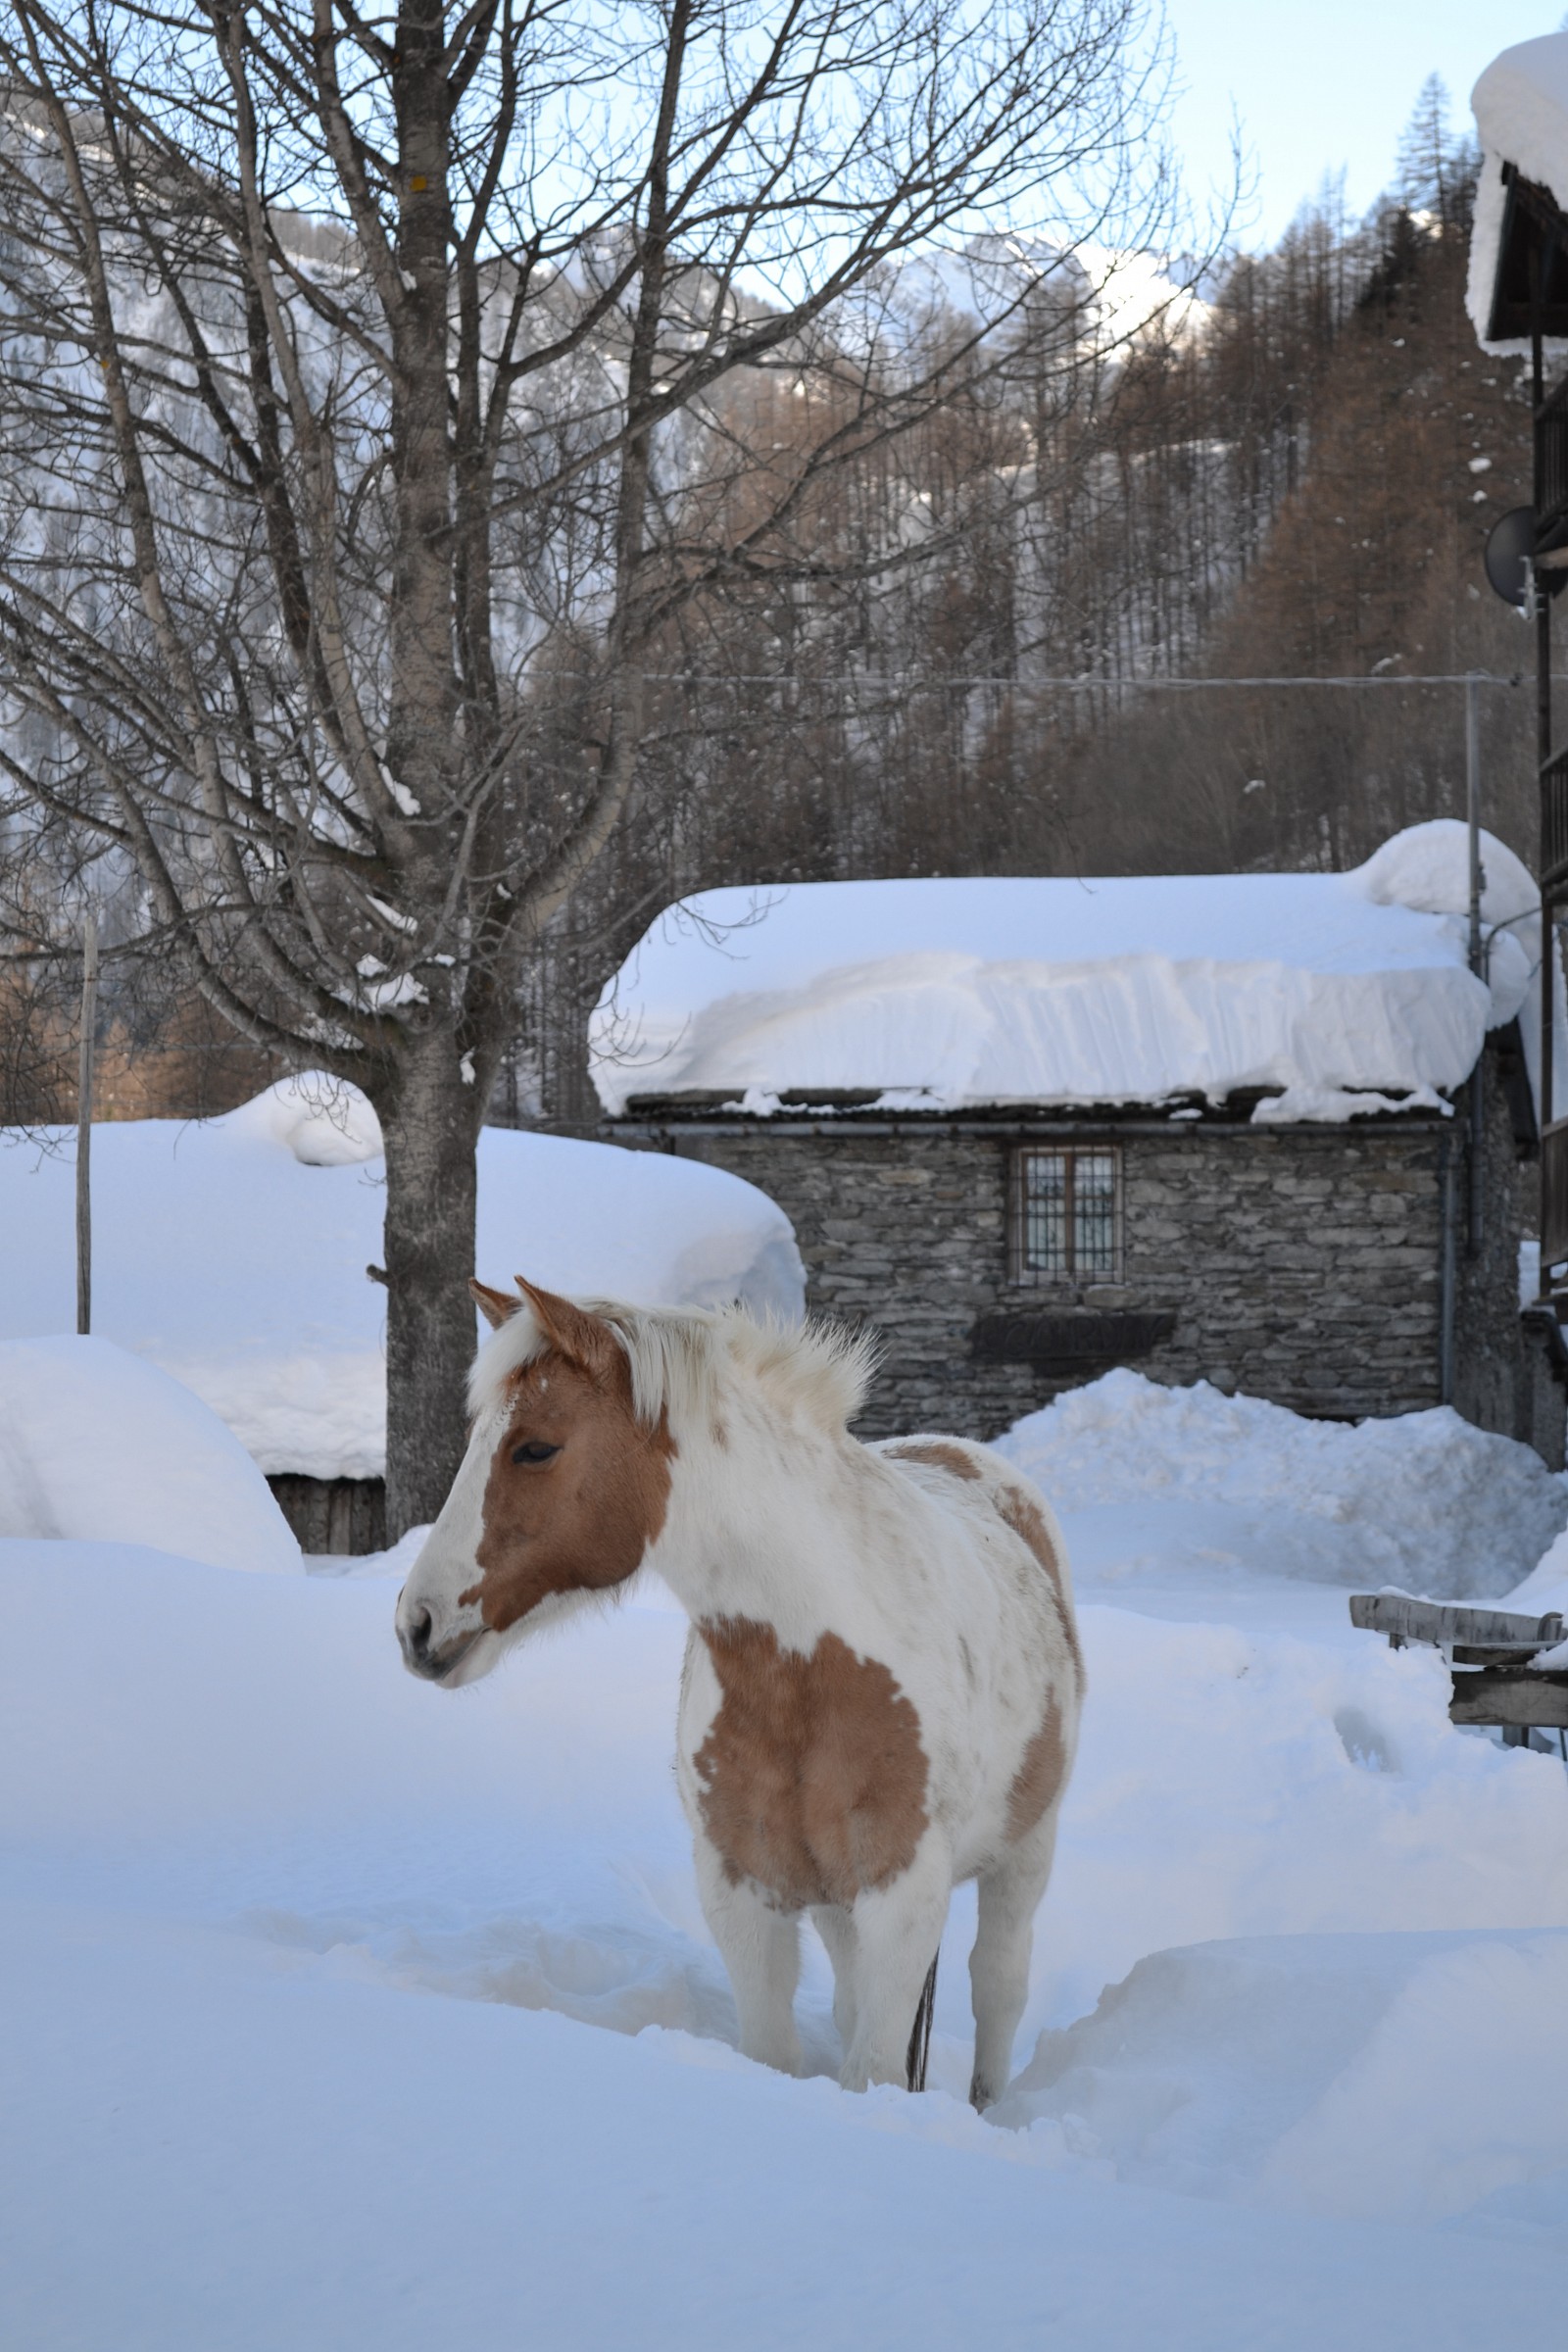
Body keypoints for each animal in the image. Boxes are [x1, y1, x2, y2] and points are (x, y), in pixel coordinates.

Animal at [394, 1275, 1084, 2108]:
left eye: (535, 1447)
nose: (416, 1624)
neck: (809, 1671)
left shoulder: (904, 1897)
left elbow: (876, 2067)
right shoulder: (743, 1893)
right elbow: (777, 2052)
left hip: (1026, 1853)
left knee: (999, 1985)